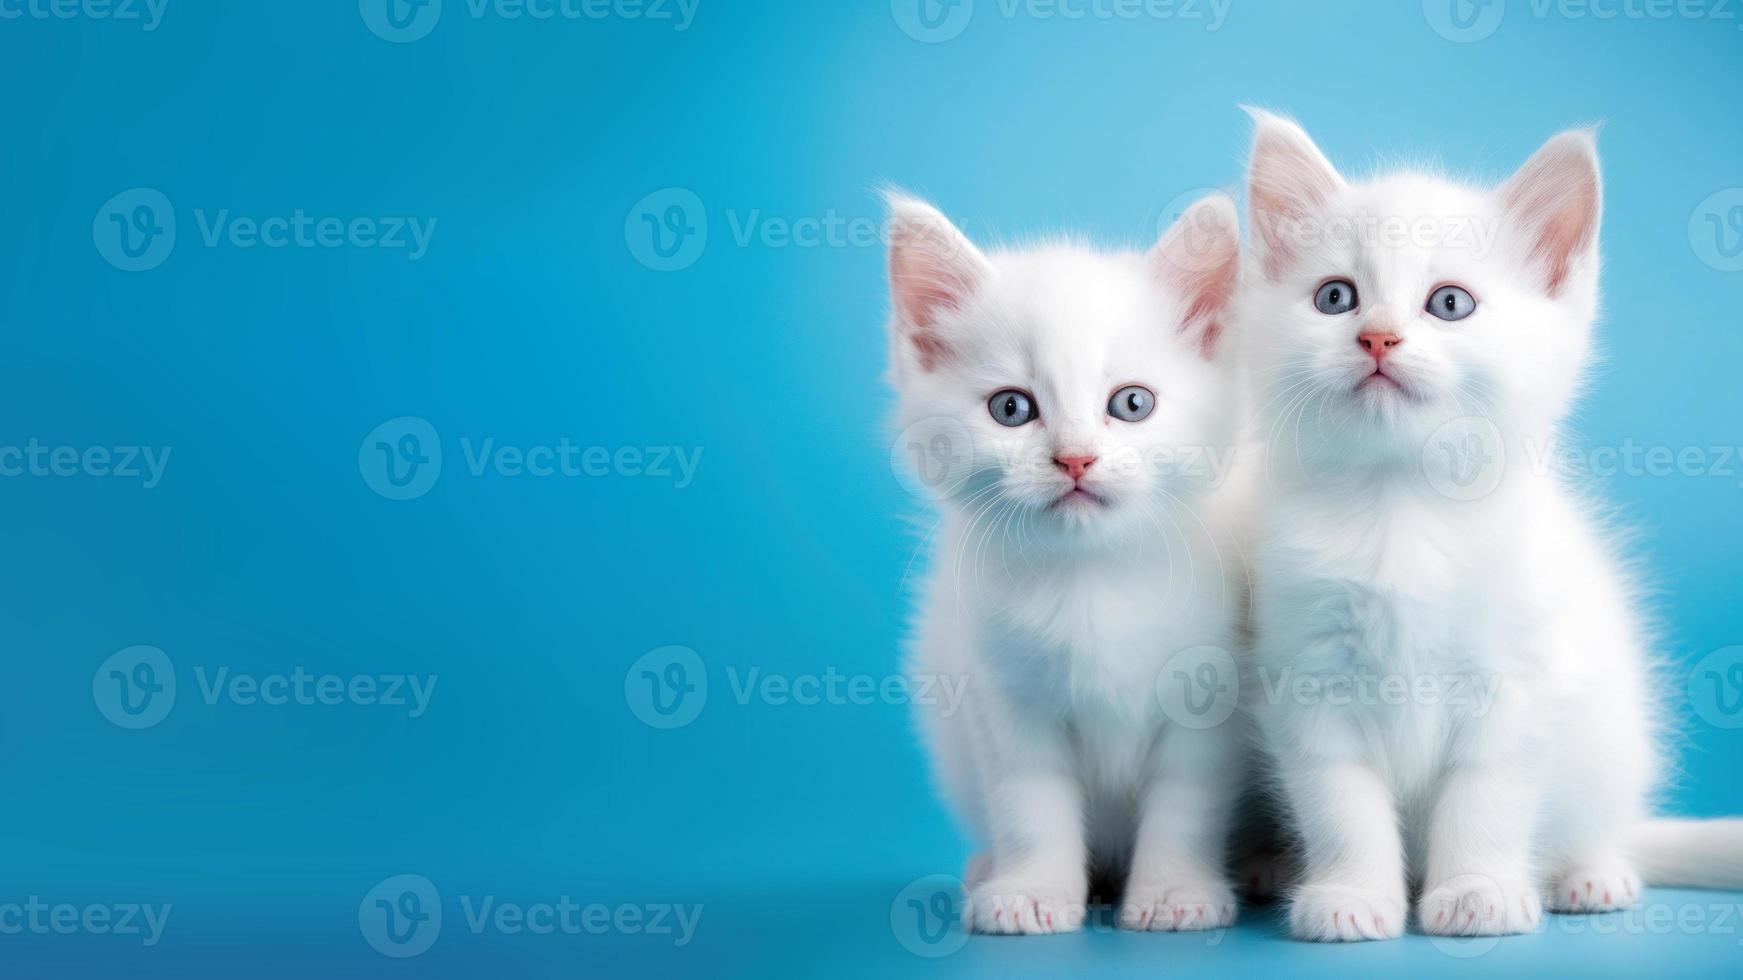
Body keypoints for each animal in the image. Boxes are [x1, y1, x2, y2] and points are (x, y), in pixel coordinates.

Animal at [899, 189, 1254, 927]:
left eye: (1132, 404)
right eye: (1011, 408)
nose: (1075, 459)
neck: (1091, 576)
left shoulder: (1211, 695)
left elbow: (1187, 801)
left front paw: (1172, 893)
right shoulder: (1001, 693)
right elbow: (1027, 801)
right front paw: (1032, 891)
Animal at [1234, 110, 1743, 941]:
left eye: (1448, 304)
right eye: (1335, 297)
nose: (1376, 337)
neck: (1400, 509)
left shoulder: (1518, 680)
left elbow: (1485, 797)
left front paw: (1476, 891)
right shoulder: (1307, 679)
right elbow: (1340, 801)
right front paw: (1351, 894)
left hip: (1610, 744)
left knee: (1598, 822)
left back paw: (1589, 874)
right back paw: (1272, 867)